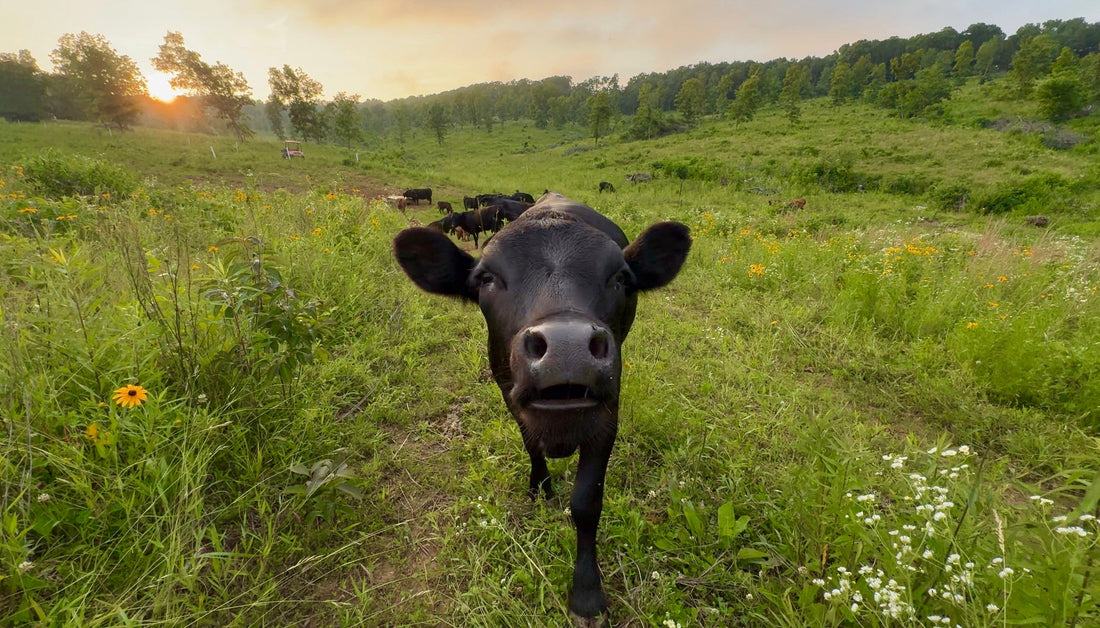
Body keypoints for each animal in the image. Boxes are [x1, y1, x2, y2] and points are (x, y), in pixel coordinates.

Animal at [393, 192, 691, 623]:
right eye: (486, 278)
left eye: (621, 278)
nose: (567, 347)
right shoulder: (509, 395)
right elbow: (531, 445)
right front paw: (541, 488)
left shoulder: (608, 412)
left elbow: (586, 503)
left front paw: (586, 593)